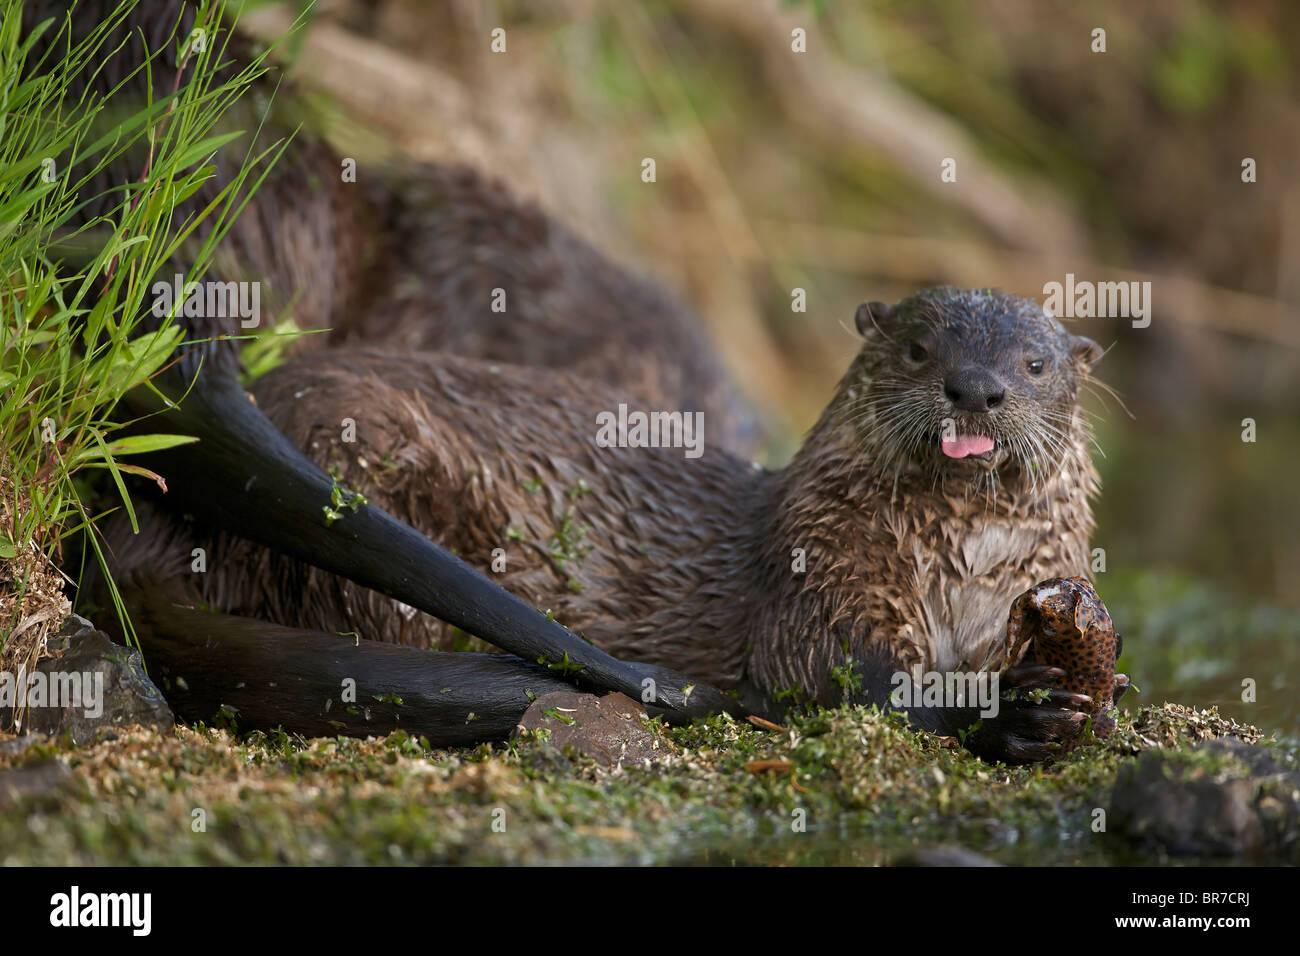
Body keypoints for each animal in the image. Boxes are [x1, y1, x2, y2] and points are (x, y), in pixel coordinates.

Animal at [106, 287, 1112, 764]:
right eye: (917, 347)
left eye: (1033, 363)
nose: (975, 386)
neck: (962, 573)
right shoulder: (817, 582)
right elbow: (852, 685)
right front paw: (1012, 715)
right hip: (364, 445)